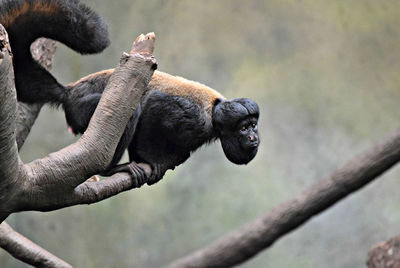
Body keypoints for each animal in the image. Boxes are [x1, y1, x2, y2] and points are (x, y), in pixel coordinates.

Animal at [1, 0, 260, 186]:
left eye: (254, 125)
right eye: (244, 128)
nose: (253, 137)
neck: (216, 111)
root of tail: (70, 91)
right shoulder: (195, 119)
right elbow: (153, 107)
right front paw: (147, 160)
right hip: (84, 108)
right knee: (131, 111)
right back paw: (112, 169)